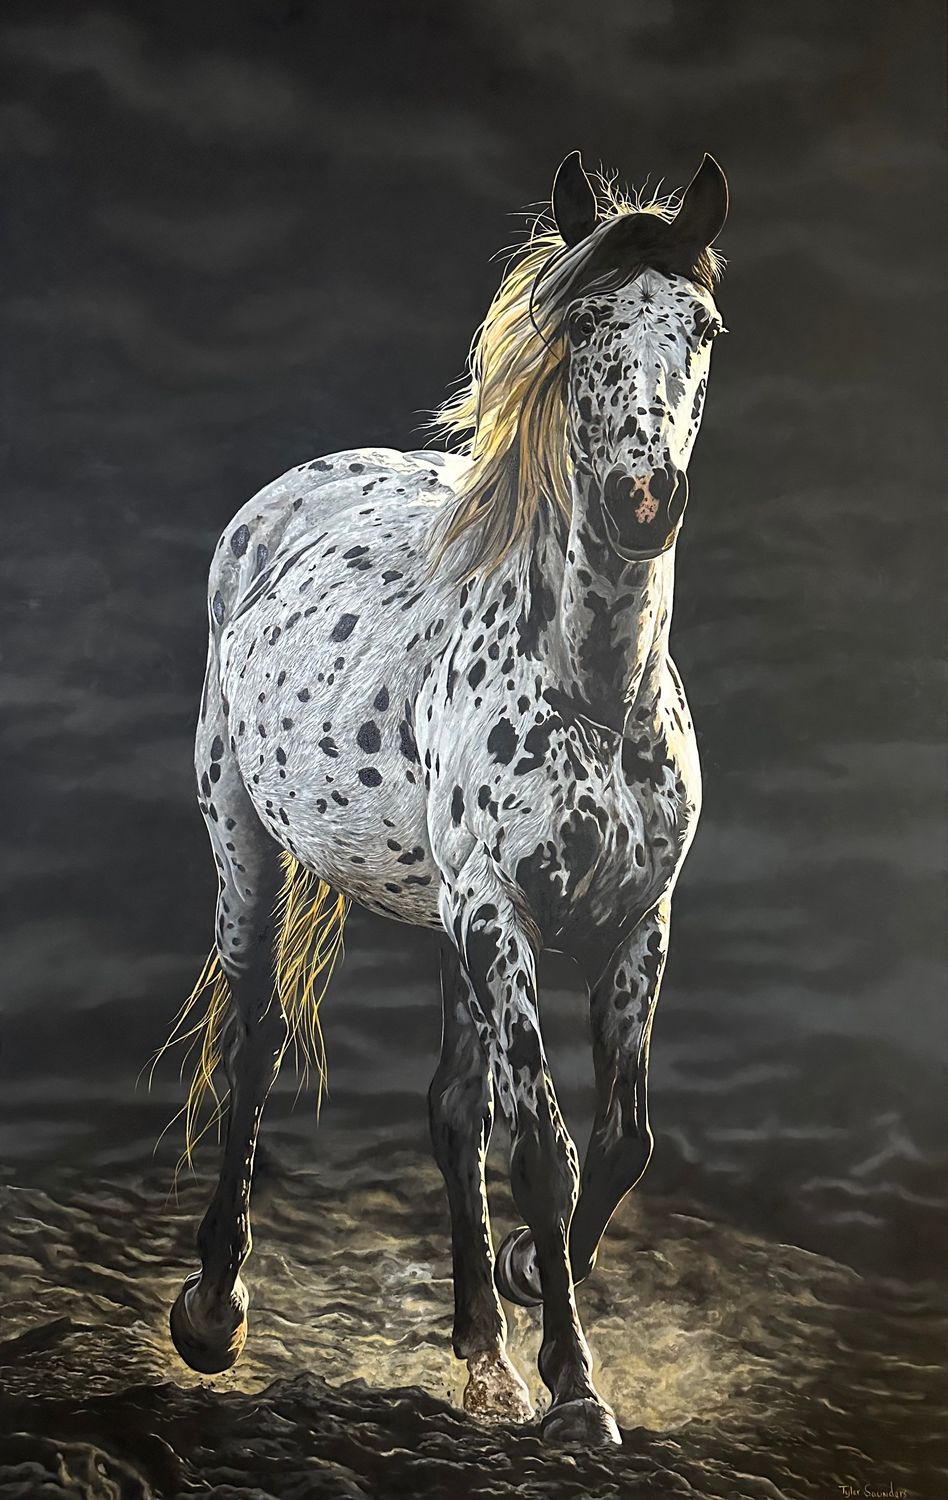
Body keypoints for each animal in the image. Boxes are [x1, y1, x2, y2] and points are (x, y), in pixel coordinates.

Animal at [167, 149, 729, 1449]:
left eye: (703, 327)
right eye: (583, 323)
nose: (643, 499)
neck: (592, 690)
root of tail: (282, 498)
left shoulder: (639, 922)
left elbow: (621, 1136)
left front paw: (526, 1290)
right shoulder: (501, 918)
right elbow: (548, 1150)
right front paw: (577, 1390)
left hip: (444, 923)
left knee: (451, 1107)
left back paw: (485, 1361)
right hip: (249, 847)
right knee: (257, 1044)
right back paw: (214, 1312)